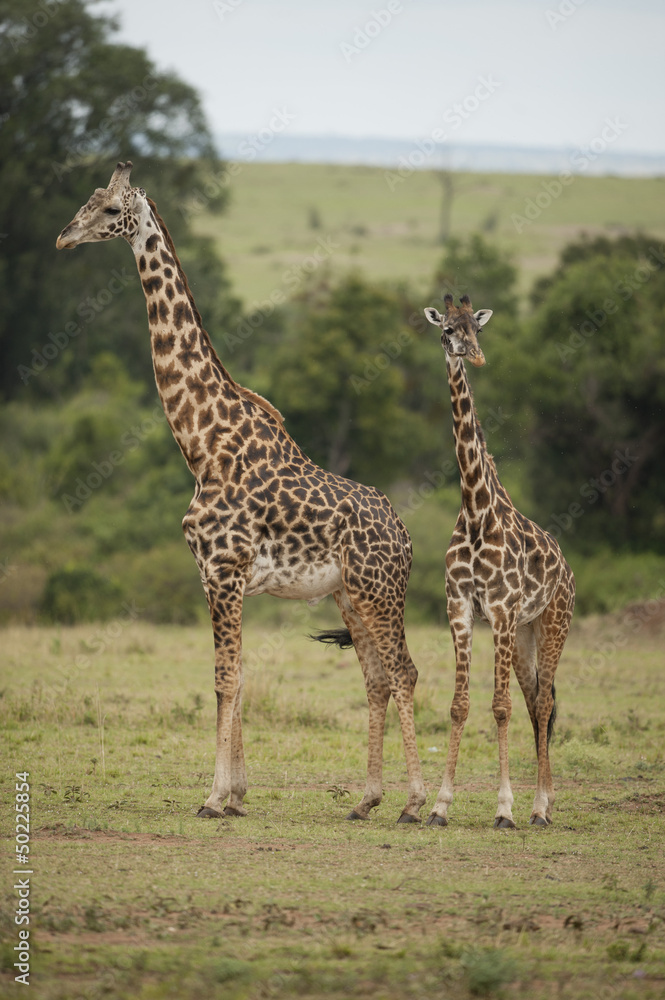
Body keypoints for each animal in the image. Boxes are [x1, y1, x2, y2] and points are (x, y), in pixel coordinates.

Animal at [56, 161, 426, 823]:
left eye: (108, 211)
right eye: (86, 202)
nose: (63, 237)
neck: (201, 442)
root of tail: (407, 538)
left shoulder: (224, 571)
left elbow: (224, 678)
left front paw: (213, 797)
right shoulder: (216, 576)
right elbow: (241, 675)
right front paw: (236, 795)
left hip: (380, 592)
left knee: (404, 672)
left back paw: (415, 803)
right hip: (350, 596)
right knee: (378, 677)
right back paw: (366, 800)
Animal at [424, 295, 575, 828]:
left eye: (477, 327)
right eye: (448, 329)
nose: (474, 355)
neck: (475, 510)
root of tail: (568, 569)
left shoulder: (503, 611)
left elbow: (500, 707)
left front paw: (504, 808)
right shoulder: (462, 610)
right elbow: (460, 705)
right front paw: (438, 805)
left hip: (551, 623)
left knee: (544, 702)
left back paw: (540, 808)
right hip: (526, 634)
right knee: (537, 702)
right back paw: (542, 802)